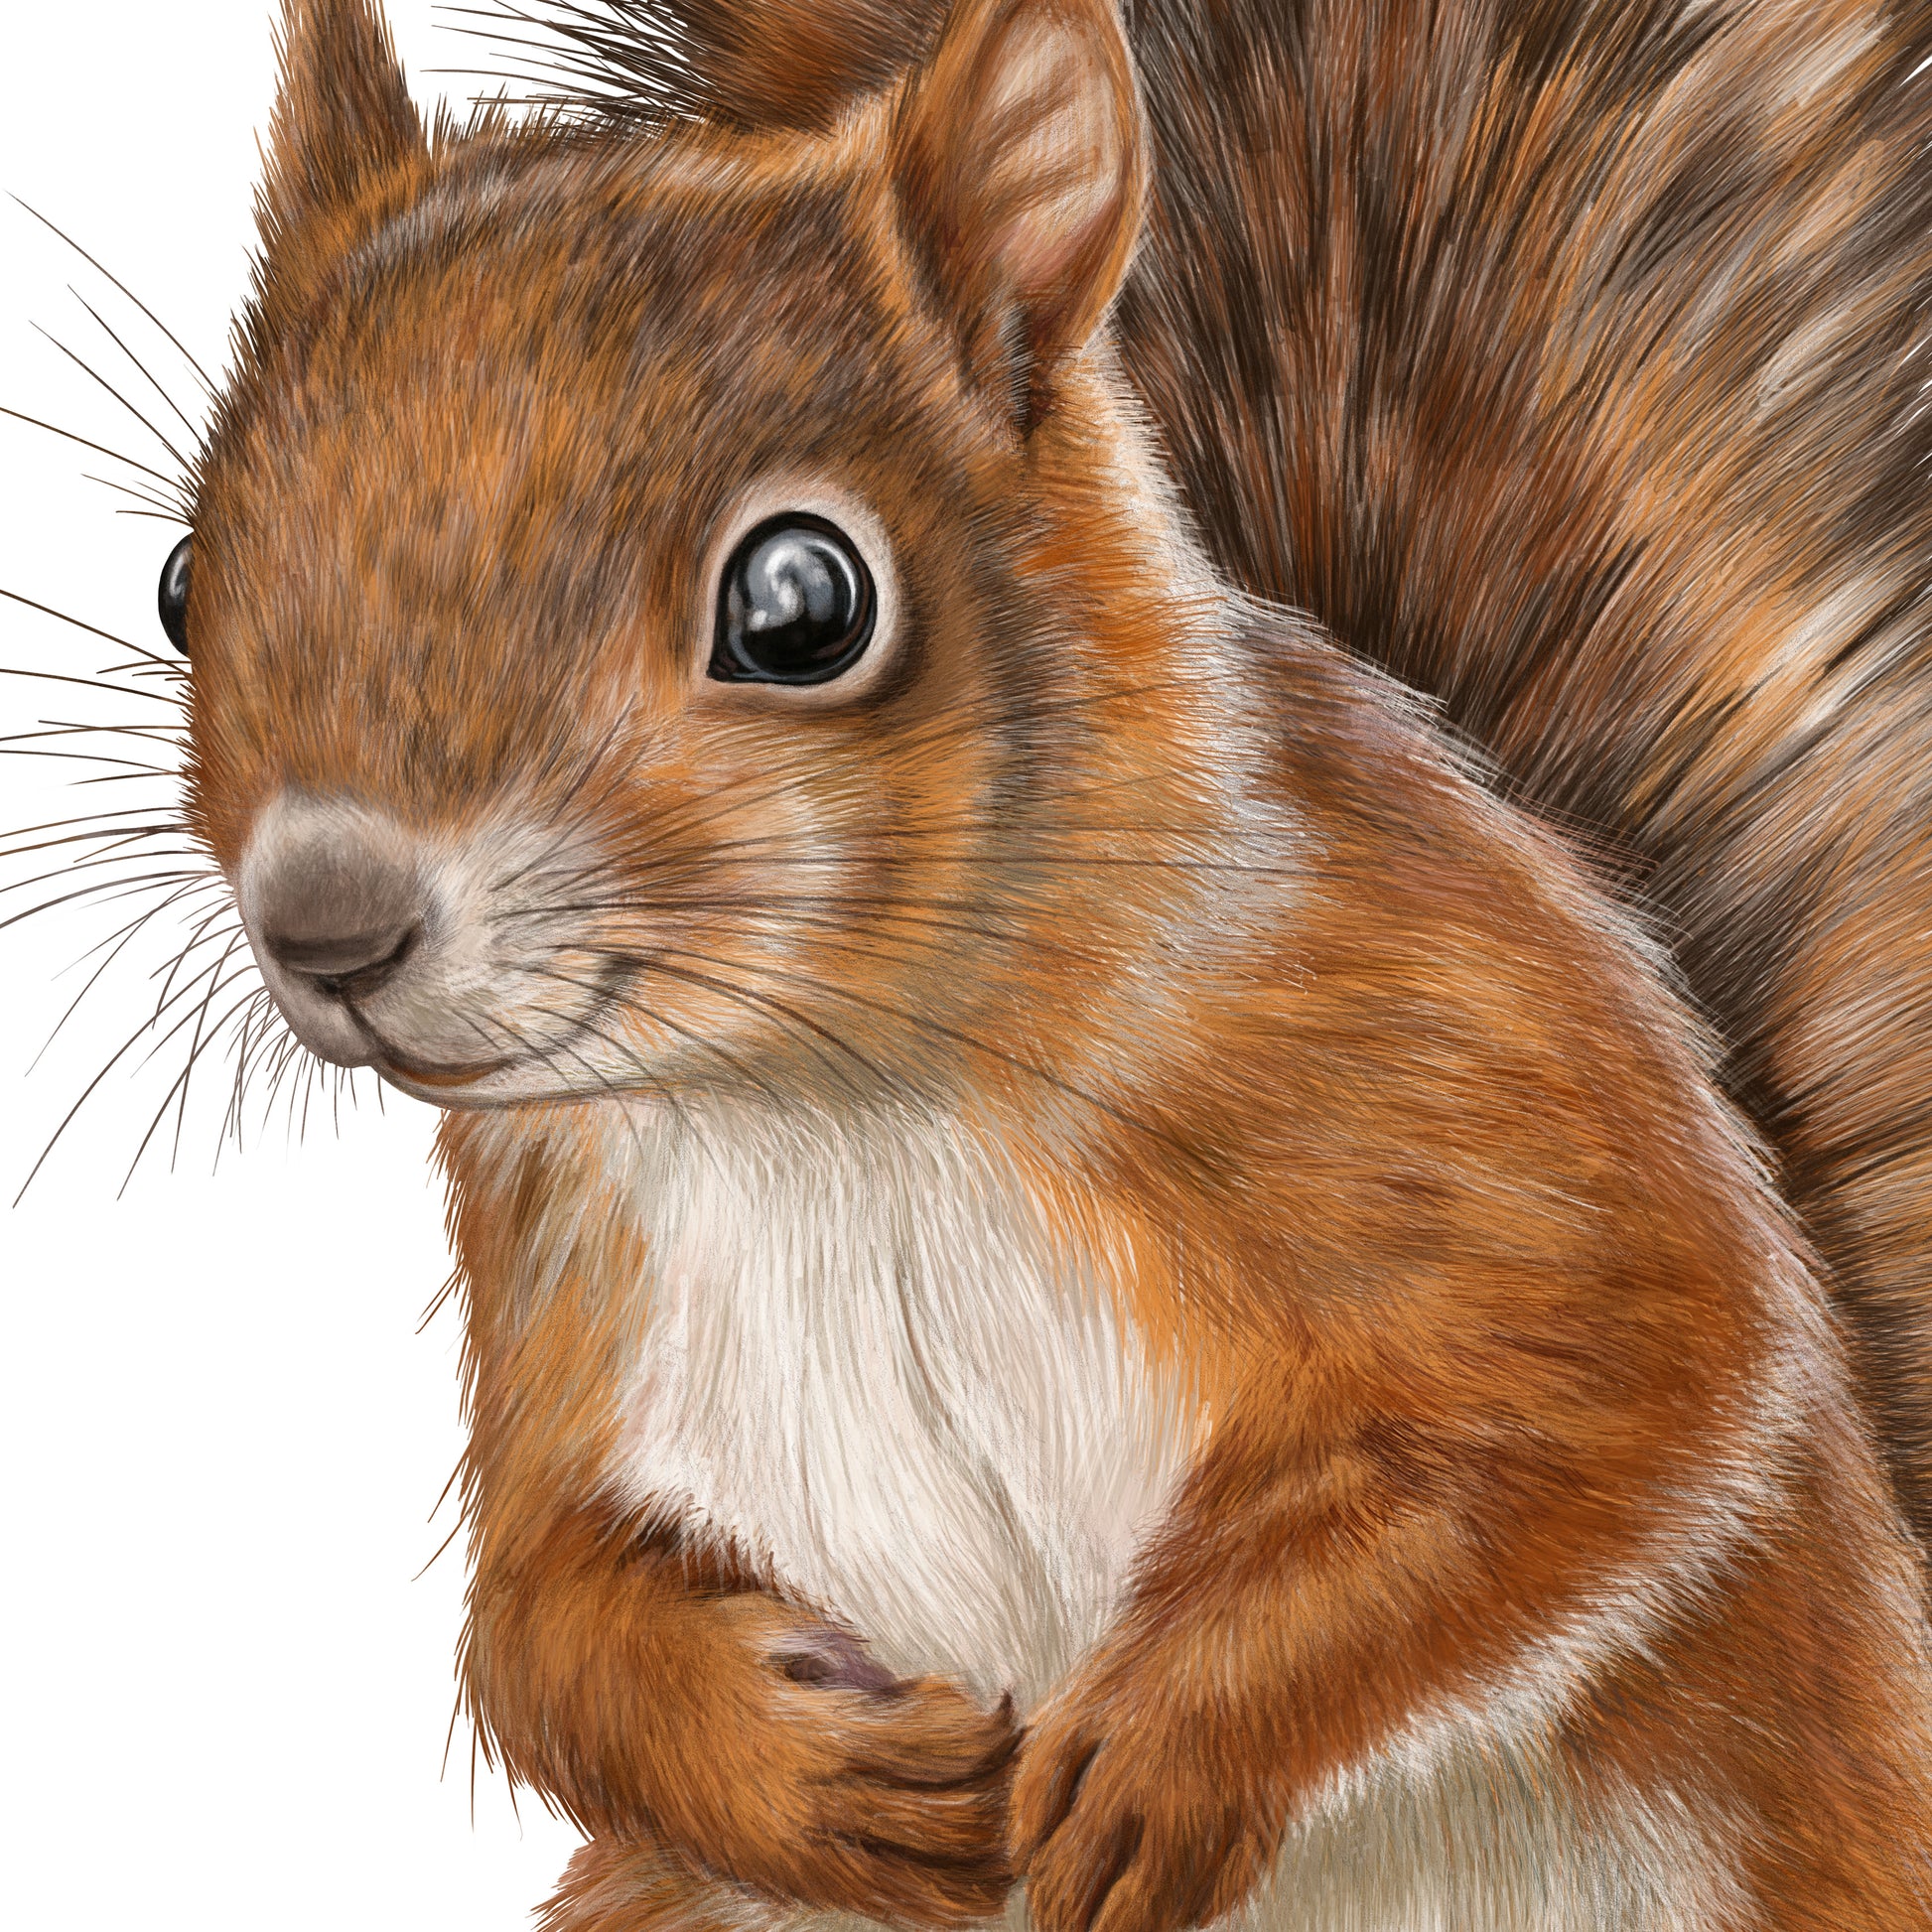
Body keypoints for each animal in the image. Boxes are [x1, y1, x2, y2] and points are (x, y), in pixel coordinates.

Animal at [77, 0, 1932, 1928]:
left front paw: (1168, 1745)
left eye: (801, 602)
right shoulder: (564, 1271)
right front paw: (808, 1775)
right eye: (185, 576)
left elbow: (1595, 1398)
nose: (328, 923)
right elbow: (542, 1608)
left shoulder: (1471, 1051)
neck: (834, 1101)